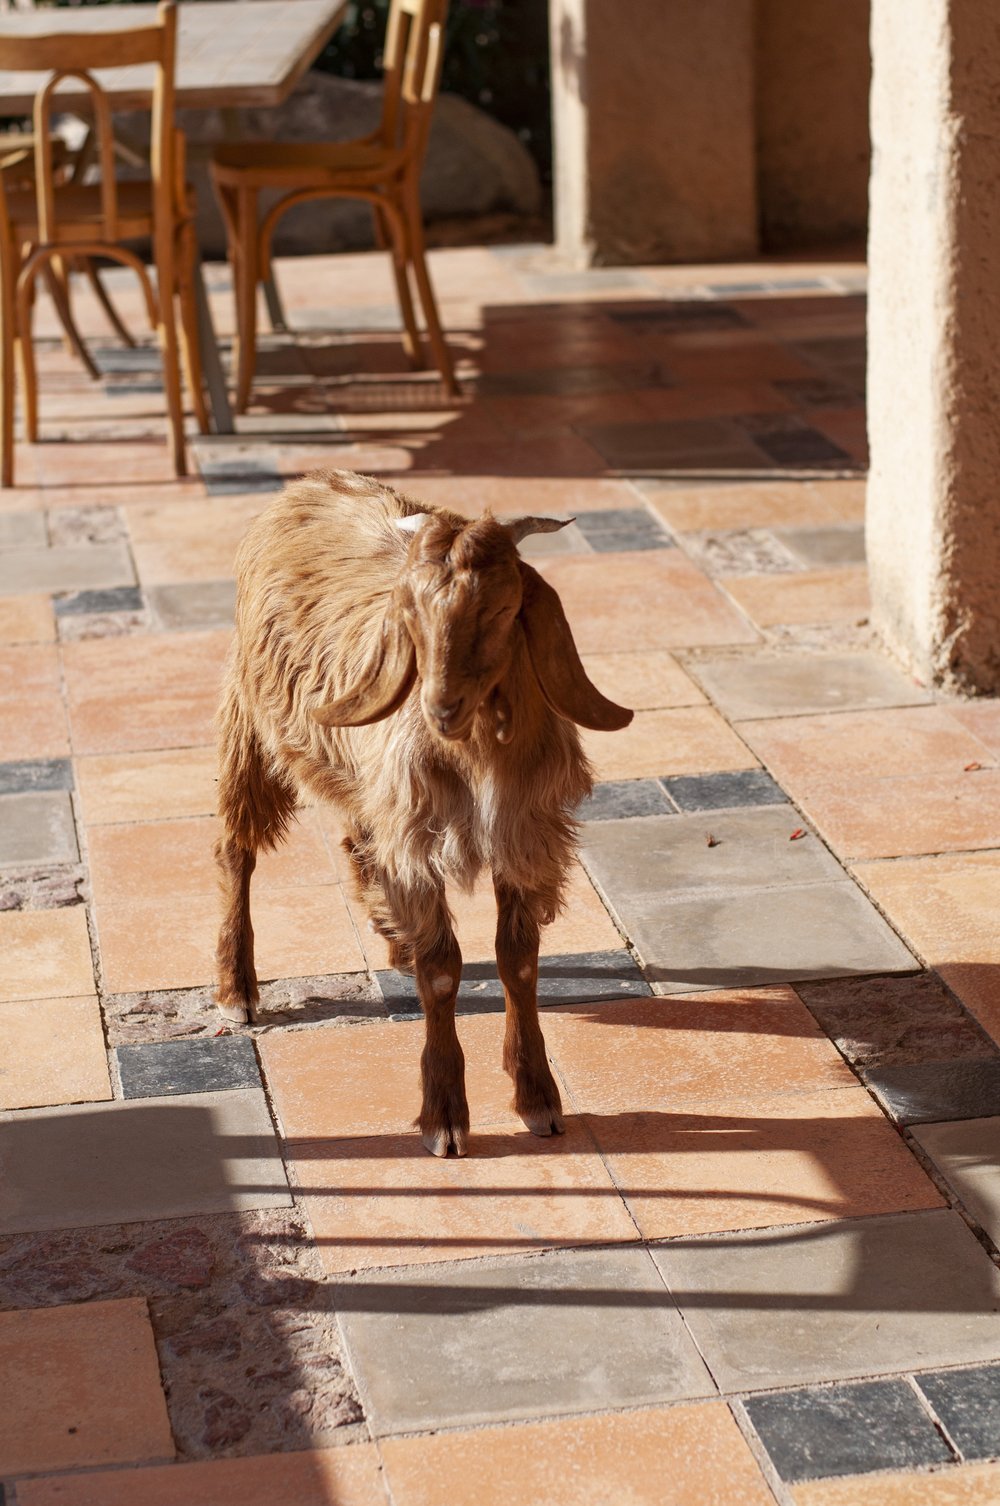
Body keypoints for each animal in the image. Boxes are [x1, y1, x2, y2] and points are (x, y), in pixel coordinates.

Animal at [215, 469, 633, 1156]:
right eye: (410, 613)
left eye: (501, 610)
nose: (441, 706)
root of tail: (306, 482)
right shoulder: (419, 839)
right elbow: (442, 972)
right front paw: (445, 1118)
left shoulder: (522, 834)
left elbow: (518, 959)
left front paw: (538, 1099)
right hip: (250, 722)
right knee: (235, 851)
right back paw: (236, 989)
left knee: (357, 847)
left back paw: (390, 939)